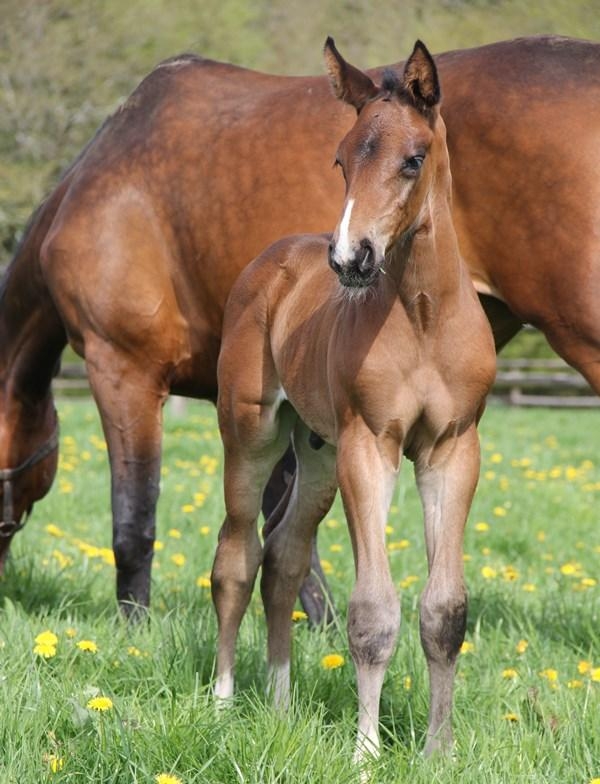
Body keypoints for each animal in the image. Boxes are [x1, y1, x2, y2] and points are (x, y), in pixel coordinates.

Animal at [1, 35, 598, 619]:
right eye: (338, 161)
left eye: (413, 161)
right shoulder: (270, 401)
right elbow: (280, 521)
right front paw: (318, 621)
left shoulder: (123, 370)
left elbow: (135, 517)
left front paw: (135, 626)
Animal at [211, 39, 496, 760]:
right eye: (342, 159)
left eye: (412, 159)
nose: (350, 258)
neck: (424, 318)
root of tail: (275, 260)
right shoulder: (372, 446)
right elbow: (373, 610)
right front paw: (367, 752)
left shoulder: (453, 450)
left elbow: (445, 609)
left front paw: (439, 750)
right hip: (252, 434)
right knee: (236, 558)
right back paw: (222, 702)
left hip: (316, 450)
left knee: (283, 560)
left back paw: (281, 706)